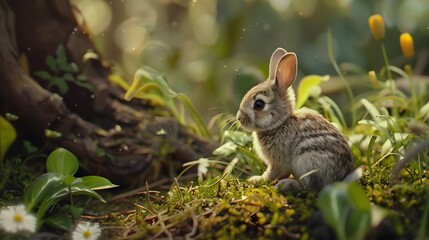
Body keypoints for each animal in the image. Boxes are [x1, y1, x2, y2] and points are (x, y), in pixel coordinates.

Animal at [236, 47, 352, 192]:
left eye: (259, 104)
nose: (239, 118)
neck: (280, 123)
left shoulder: (278, 162)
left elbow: (272, 173)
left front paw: (257, 179)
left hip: (307, 160)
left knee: (310, 187)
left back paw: (287, 185)